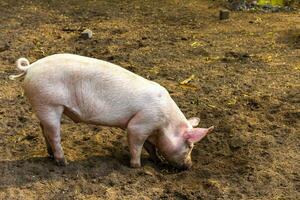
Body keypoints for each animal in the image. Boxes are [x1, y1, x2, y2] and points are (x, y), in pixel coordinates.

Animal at [11, 54, 213, 170]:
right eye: (190, 146)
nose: (189, 166)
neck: (165, 124)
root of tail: (30, 67)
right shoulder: (140, 124)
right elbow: (137, 144)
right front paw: (136, 167)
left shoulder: (149, 128)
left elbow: (150, 146)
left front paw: (157, 162)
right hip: (49, 104)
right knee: (54, 135)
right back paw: (63, 162)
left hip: (43, 107)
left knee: (44, 130)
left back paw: (51, 155)